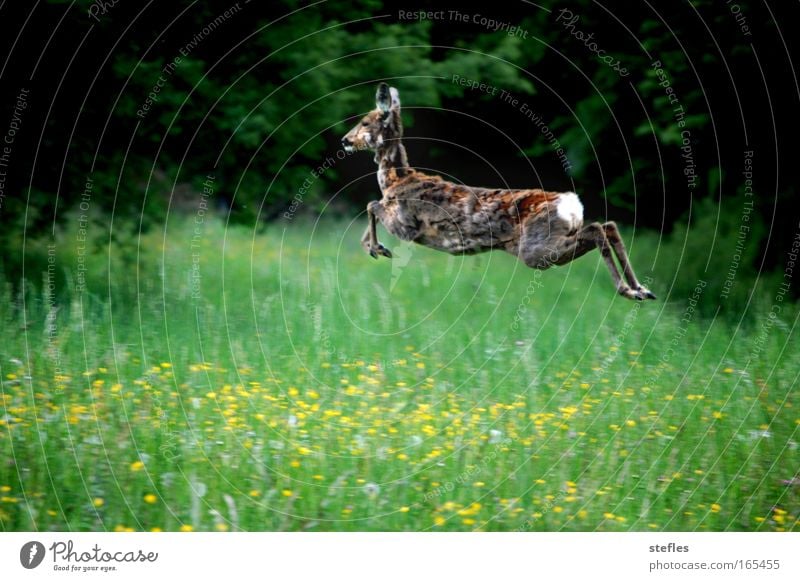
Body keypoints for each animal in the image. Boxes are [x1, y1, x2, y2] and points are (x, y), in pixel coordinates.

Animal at [342, 84, 656, 302]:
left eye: (366, 122)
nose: (345, 140)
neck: (395, 179)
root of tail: (571, 203)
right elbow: (372, 206)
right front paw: (374, 247)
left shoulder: (407, 225)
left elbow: (372, 204)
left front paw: (376, 247)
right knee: (609, 225)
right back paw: (642, 289)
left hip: (536, 248)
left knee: (598, 229)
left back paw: (629, 290)